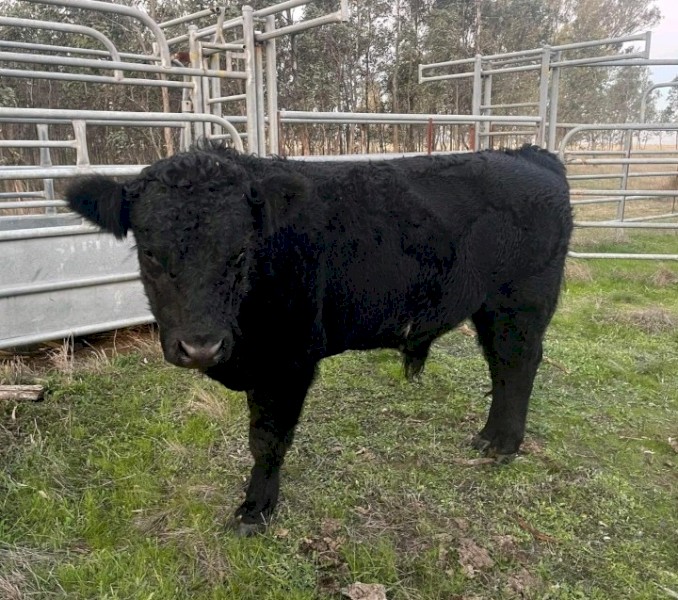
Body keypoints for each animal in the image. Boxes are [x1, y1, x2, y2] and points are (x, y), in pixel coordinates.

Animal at [66, 142, 572, 535]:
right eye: (150, 252)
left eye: (240, 252)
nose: (200, 346)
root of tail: (528, 155)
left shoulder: (288, 362)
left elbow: (267, 440)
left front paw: (255, 511)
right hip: (492, 310)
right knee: (502, 369)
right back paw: (491, 439)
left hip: (521, 304)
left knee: (517, 367)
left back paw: (502, 445)